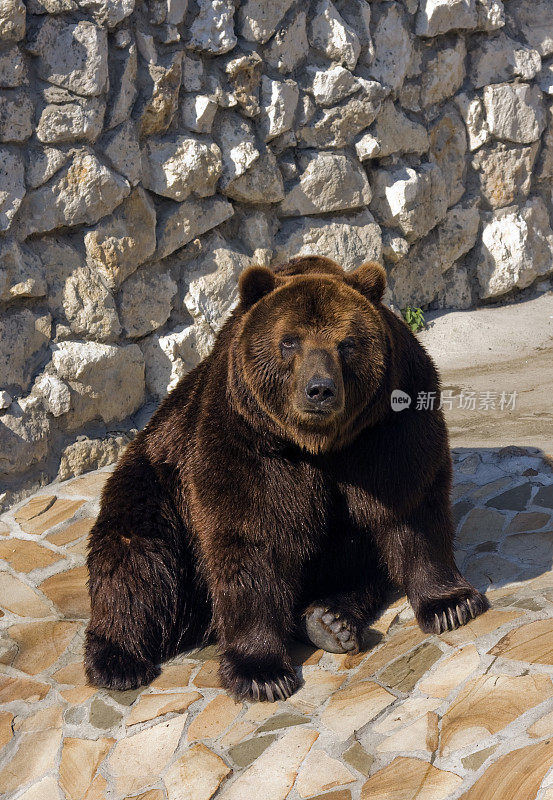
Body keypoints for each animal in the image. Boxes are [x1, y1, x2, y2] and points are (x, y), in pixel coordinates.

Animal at [84, 256, 486, 700]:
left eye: (347, 343)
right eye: (290, 340)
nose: (319, 390)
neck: (317, 444)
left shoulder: (388, 423)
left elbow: (409, 502)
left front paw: (451, 604)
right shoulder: (248, 440)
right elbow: (251, 538)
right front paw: (262, 673)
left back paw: (330, 619)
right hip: (154, 483)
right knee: (138, 557)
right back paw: (119, 660)